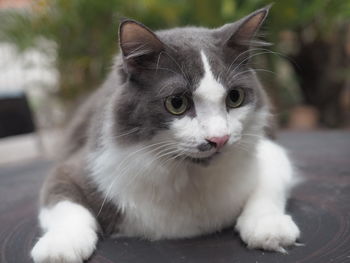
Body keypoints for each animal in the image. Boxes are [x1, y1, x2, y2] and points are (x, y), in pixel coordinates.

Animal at [30, 6, 300, 263]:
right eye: (177, 103)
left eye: (235, 98)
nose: (219, 139)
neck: (188, 176)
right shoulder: (77, 168)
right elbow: (66, 206)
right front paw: (60, 246)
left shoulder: (272, 152)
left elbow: (267, 189)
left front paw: (269, 227)